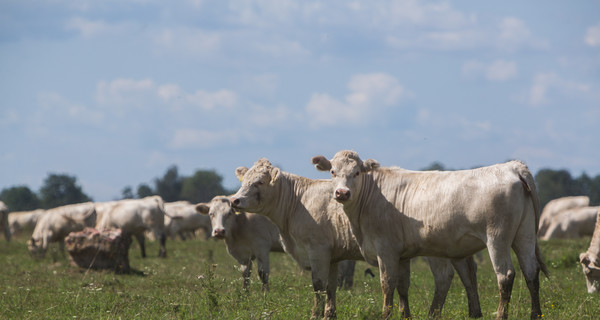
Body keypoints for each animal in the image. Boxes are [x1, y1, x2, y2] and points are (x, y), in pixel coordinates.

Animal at [230, 158, 482, 320]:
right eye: (244, 181)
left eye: (259, 182)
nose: (234, 200)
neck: (297, 203)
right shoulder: (331, 256)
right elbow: (330, 287)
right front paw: (329, 315)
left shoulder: (317, 250)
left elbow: (318, 285)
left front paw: (314, 315)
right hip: (457, 250)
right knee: (468, 275)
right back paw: (475, 313)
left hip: (436, 251)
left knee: (444, 278)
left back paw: (434, 314)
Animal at [312, 151, 552, 320]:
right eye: (332, 172)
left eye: (357, 173)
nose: (342, 193)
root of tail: (512, 166)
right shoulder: (402, 254)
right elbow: (403, 285)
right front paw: (405, 315)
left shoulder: (386, 249)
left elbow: (387, 284)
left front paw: (386, 315)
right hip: (525, 235)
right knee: (531, 271)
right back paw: (535, 314)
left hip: (497, 238)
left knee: (506, 275)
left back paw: (502, 315)